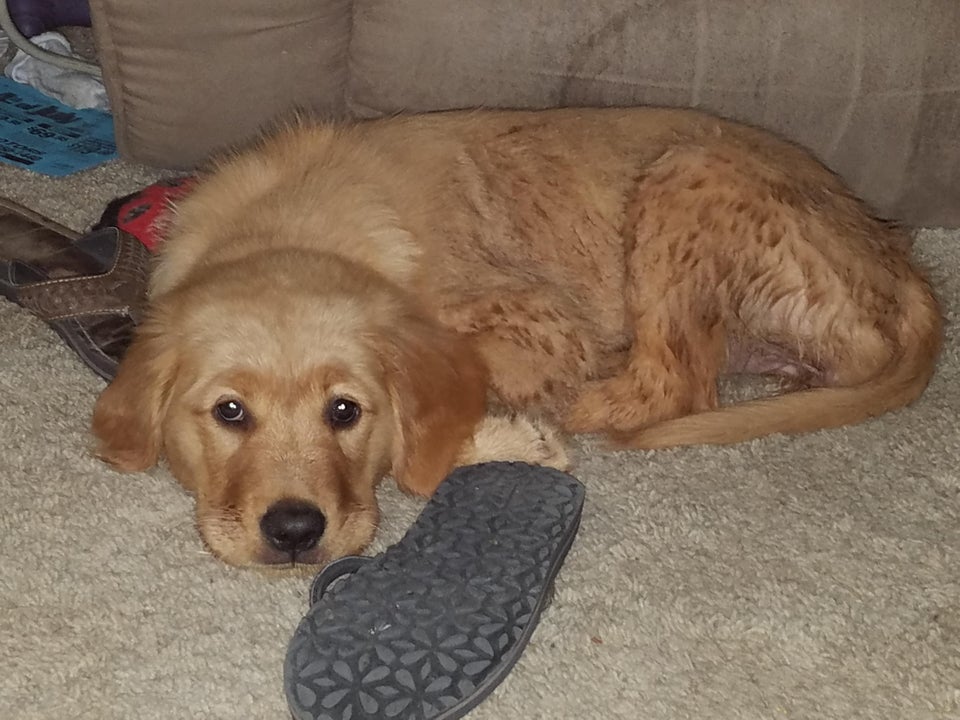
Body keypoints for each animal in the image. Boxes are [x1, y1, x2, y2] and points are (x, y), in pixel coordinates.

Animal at [92, 107, 944, 568]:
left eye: (345, 412)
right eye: (229, 413)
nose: (296, 533)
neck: (295, 224)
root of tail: (895, 254)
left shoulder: (538, 322)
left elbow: (436, 415)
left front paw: (506, 435)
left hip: (689, 172)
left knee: (672, 383)